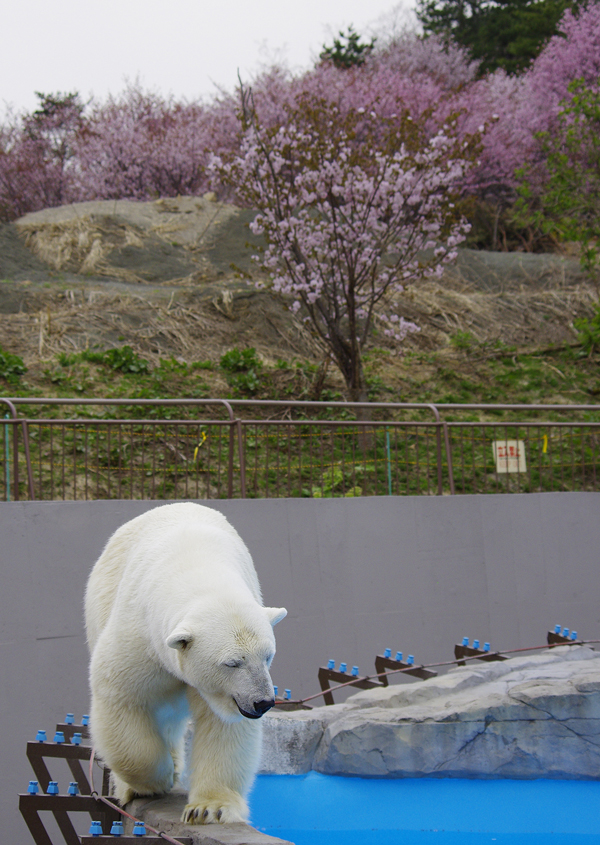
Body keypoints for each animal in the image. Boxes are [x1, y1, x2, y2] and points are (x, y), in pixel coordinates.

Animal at [83, 502, 288, 824]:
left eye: (268, 656)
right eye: (232, 663)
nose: (263, 702)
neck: (197, 567)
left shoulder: (226, 694)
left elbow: (221, 725)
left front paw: (209, 808)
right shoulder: (141, 634)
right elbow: (123, 696)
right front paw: (155, 781)